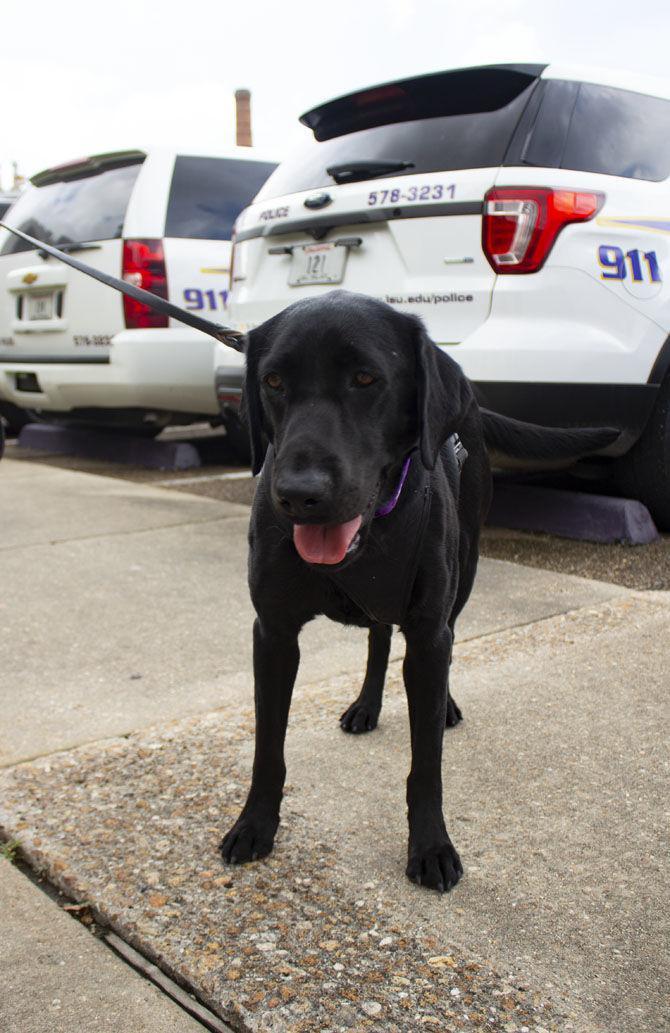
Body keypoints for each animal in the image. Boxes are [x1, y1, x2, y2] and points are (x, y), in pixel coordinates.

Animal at [220, 293, 615, 896]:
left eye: (366, 378)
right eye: (273, 381)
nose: (298, 495)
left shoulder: (429, 632)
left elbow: (427, 761)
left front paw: (431, 846)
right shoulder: (273, 634)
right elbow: (269, 745)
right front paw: (254, 825)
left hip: (464, 574)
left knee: (438, 637)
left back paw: (442, 703)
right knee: (379, 635)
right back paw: (367, 704)